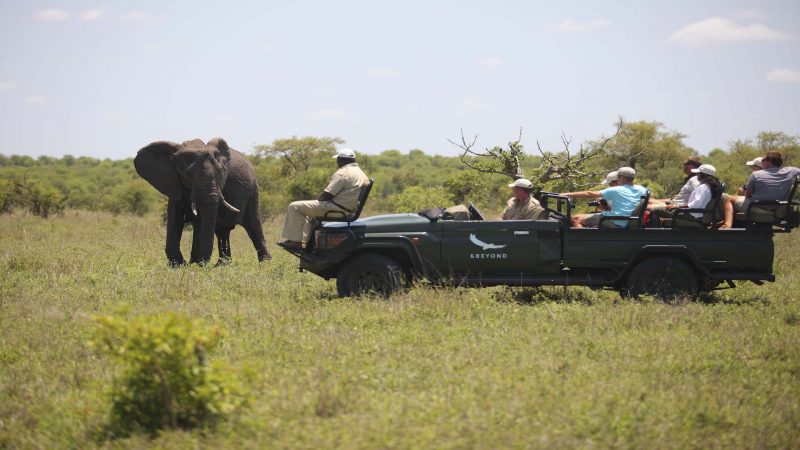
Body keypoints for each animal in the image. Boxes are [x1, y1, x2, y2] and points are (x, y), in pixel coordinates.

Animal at [132, 136, 268, 264]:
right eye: (187, 175)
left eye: (220, 173)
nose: (202, 262)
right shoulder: (174, 183)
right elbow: (174, 219)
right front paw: (178, 265)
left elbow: (200, 221)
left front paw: (195, 264)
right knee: (222, 231)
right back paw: (222, 265)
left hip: (253, 190)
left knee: (253, 227)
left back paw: (265, 263)